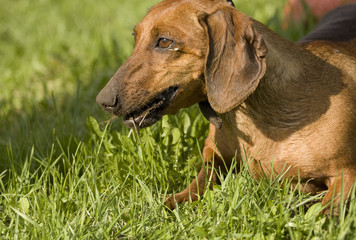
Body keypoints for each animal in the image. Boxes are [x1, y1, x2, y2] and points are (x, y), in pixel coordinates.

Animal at [96, 0, 356, 212]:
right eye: (135, 38)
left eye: (165, 42)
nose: (103, 101)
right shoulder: (214, 157)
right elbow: (194, 185)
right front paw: (167, 204)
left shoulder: (346, 174)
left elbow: (326, 213)